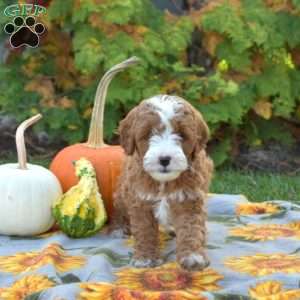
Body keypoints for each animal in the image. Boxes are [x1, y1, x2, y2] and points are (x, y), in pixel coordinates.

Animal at [111, 95, 212, 270]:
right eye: (148, 133)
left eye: (181, 134)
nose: (164, 159)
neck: (164, 182)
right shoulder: (140, 200)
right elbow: (144, 230)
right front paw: (145, 258)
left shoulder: (190, 199)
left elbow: (191, 228)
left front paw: (193, 256)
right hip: (122, 194)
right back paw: (121, 228)